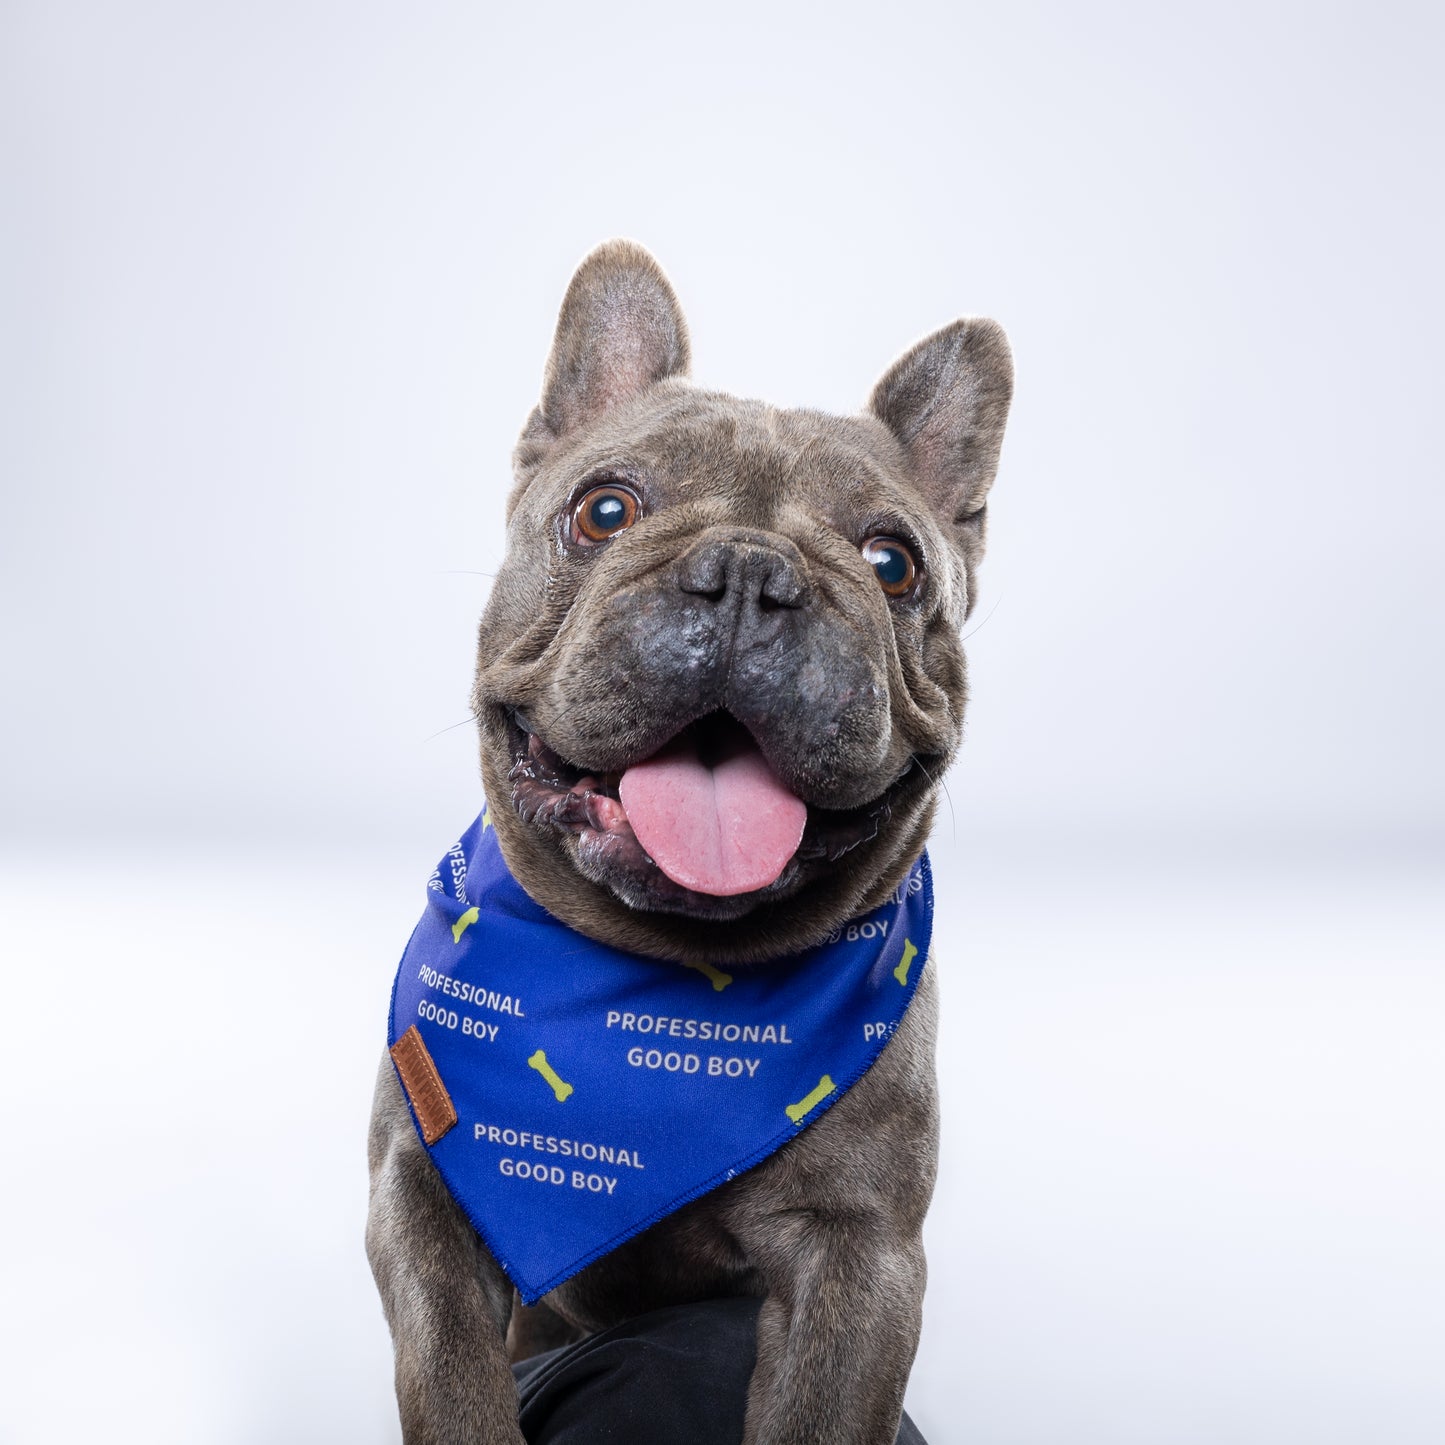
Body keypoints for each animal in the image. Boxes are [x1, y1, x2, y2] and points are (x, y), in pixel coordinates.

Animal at [367, 242, 1011, 1439]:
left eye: (892, 564)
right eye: (604, 509)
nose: (751, 574)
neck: (660, 991)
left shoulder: (858, 1259)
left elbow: (814, 1411)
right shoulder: (421, 1197)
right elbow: (453, 1380)